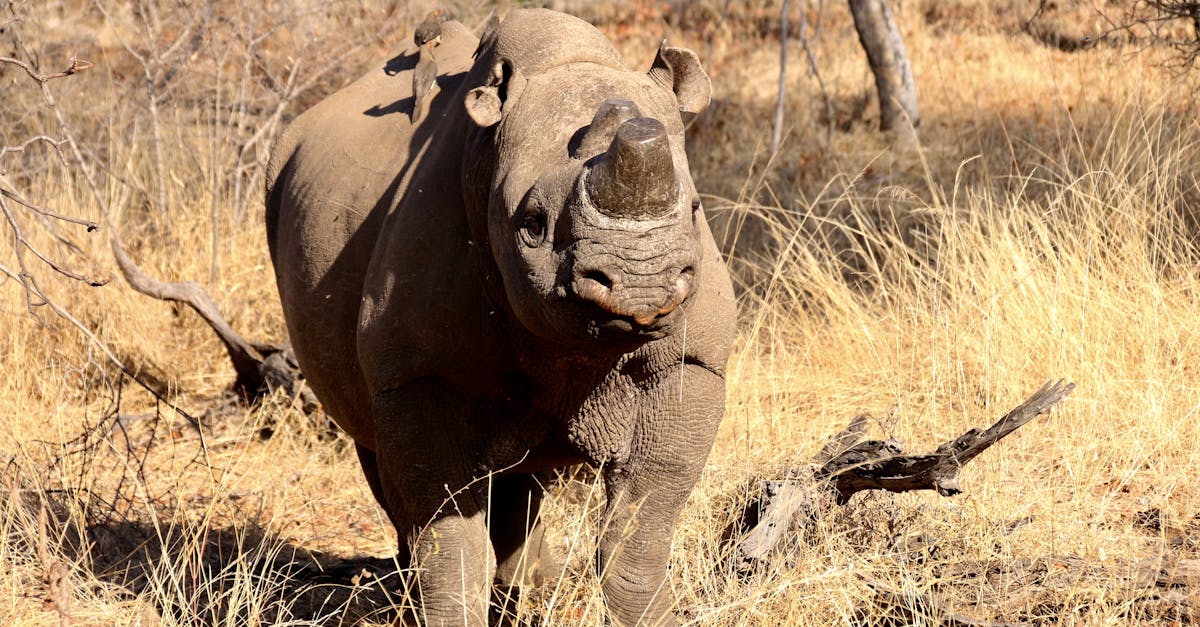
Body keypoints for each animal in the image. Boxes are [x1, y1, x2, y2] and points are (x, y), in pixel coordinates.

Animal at [265, 7, 729, 619]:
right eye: (531, 224)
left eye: (695, 209)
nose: (637, 284)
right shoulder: (419, 372)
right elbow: (448, 540)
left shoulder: (693, 360)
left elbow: (640, 530)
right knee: (379, 457)